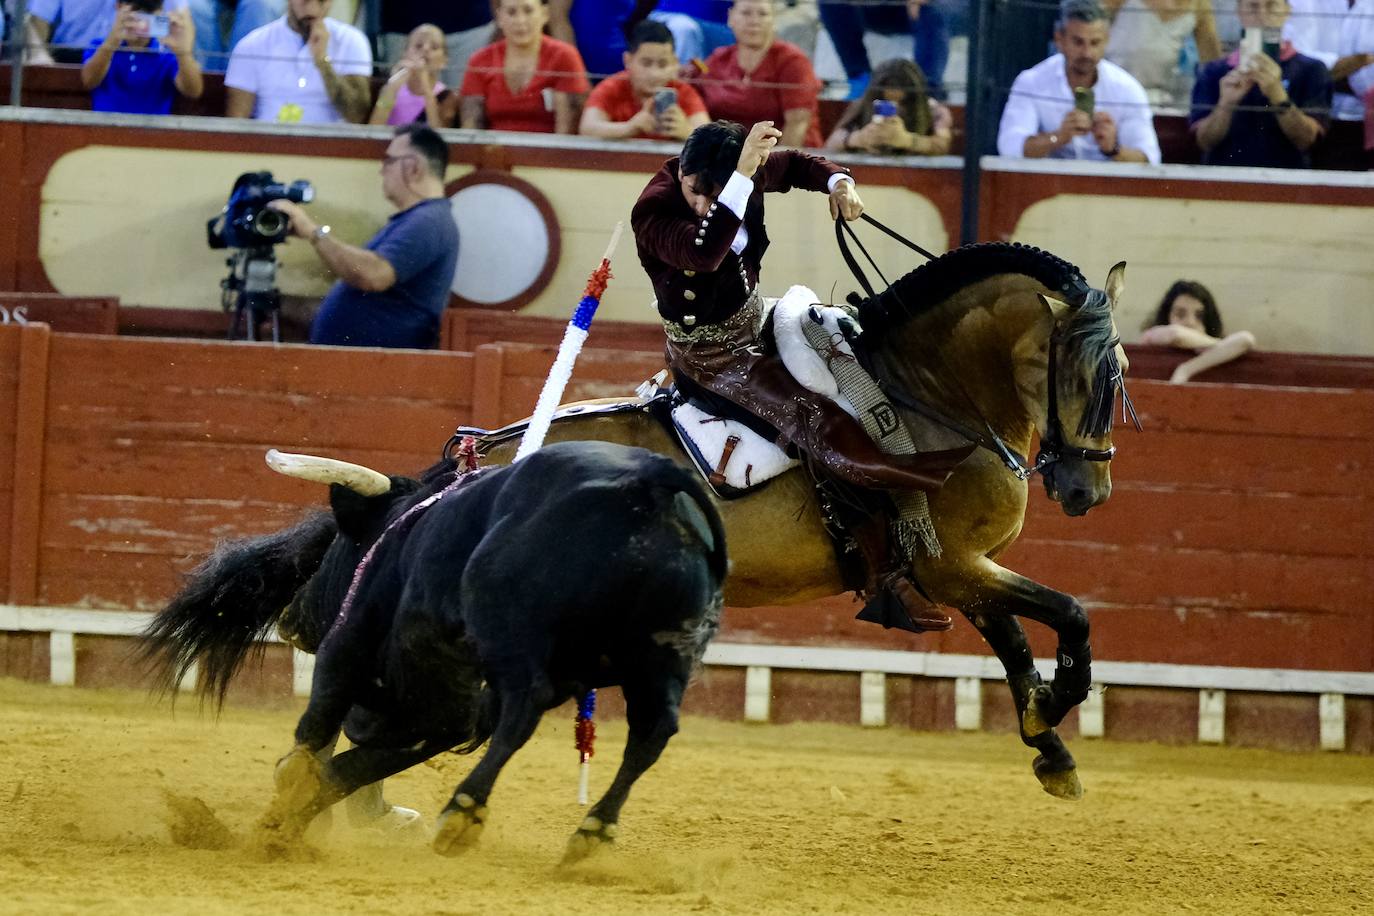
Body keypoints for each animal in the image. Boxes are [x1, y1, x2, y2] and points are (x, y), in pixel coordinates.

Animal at [142, 444, 730, 862]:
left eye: (338, 544)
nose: (290, 618)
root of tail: (652, 483)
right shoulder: (446, 716)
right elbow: (352, 767)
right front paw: (288, 823)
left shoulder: (351, 646)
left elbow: (318, 734)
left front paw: (284, 806)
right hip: (662, 659)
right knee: (651, 732)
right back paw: (592, 832)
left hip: (511, 635)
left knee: (527, 705)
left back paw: (464, 813)